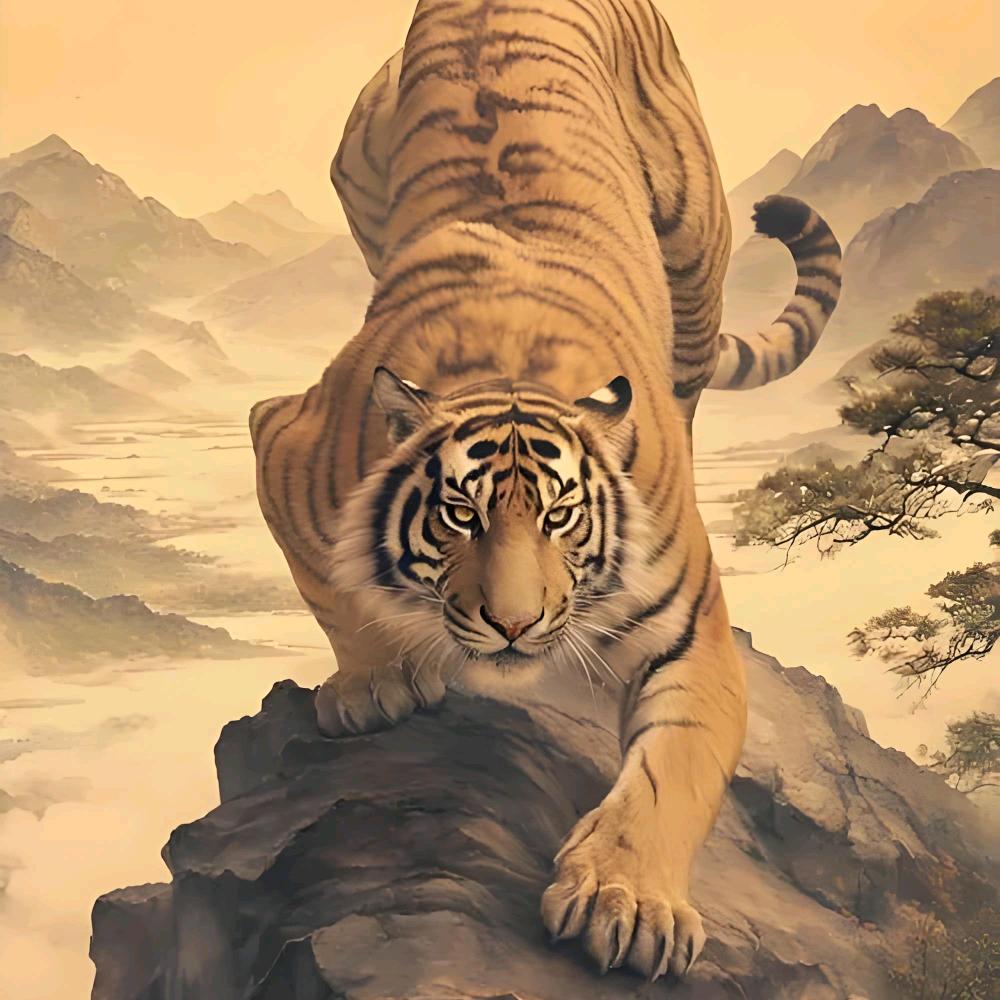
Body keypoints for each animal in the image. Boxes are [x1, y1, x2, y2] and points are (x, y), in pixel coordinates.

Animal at [250, 0, 842, 982]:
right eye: (459, 516)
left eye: (563, 519)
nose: (514, 626)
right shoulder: (284, 441)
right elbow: (330, 581)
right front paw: (376, 682)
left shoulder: (689, 634)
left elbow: (675, 769)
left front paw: (626, 901)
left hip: (693, 246)